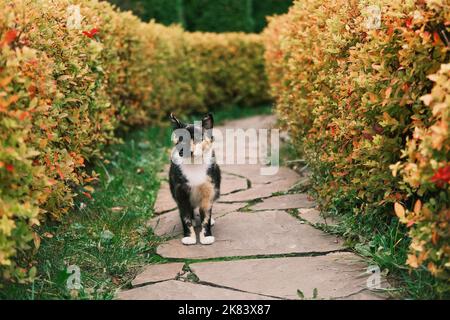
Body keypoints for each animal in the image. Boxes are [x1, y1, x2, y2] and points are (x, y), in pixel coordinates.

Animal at [168, 112, 221, 245]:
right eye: (181, 140)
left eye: (198, 139)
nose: (187, 151)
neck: (194, 165)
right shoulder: (180, 191)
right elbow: (185, 216)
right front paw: (189, 237)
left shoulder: (209, 189)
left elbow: (206, 216)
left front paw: (206, 237)